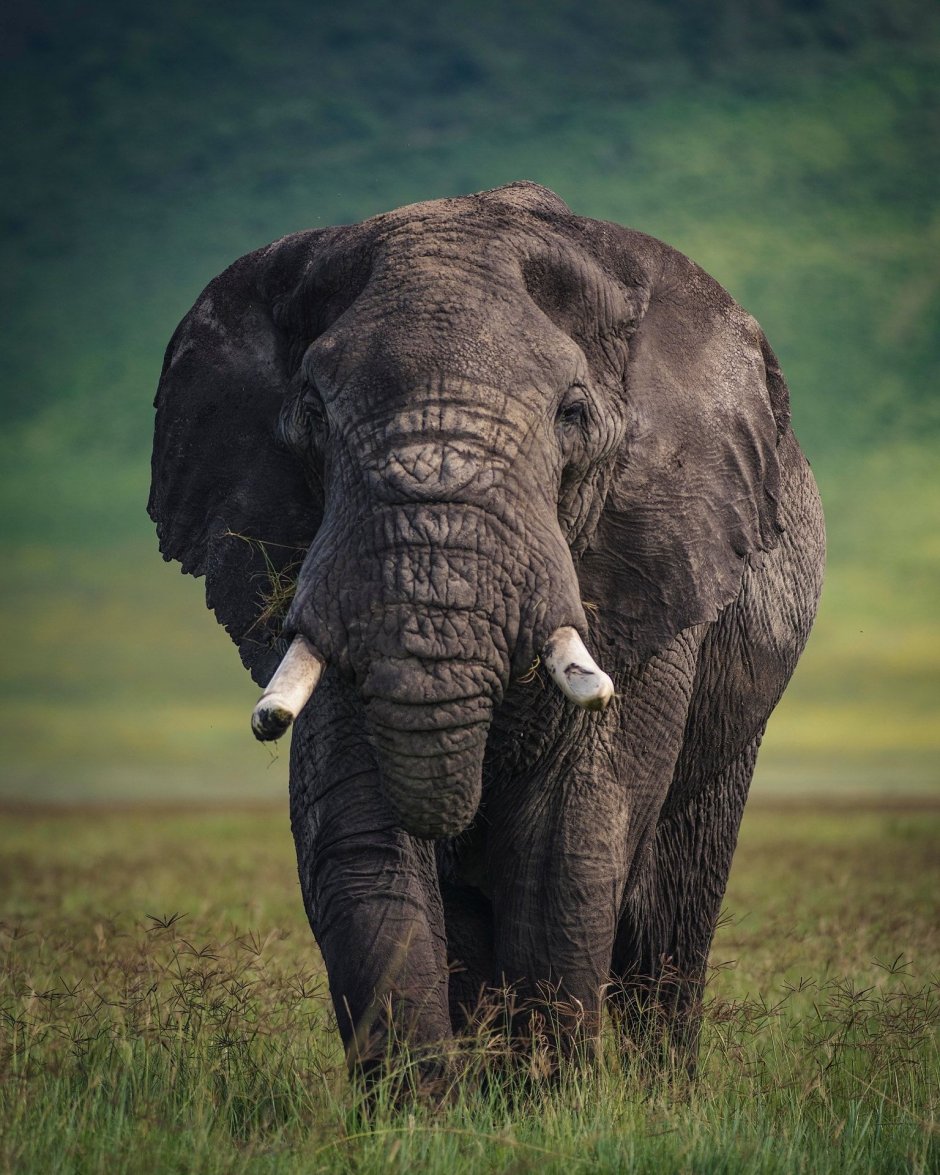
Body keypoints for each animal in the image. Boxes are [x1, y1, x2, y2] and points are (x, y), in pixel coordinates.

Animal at [149, 181, 824, 1085]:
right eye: (313, 415)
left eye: (572, 413)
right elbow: (357, 833)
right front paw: (420, 1108)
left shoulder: (653, 560)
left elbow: (562, 844)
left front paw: (549, 1100)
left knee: (671, 920)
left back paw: (658, 1086)